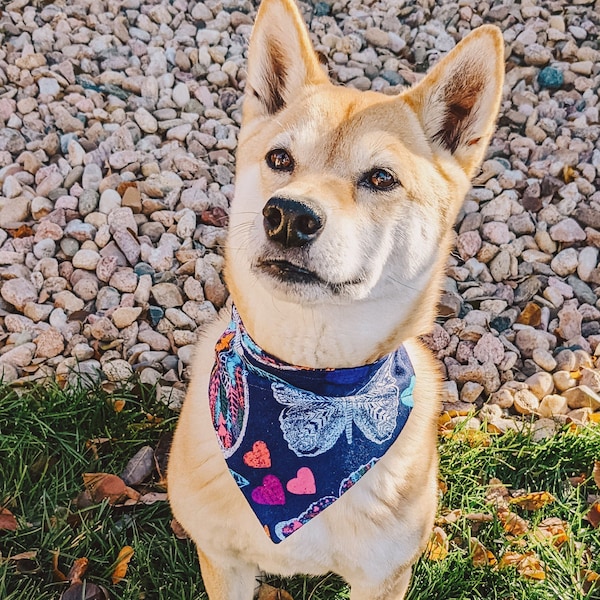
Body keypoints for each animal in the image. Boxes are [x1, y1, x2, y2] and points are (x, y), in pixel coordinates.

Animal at [166, 0, 504, 596]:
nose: (288, 215)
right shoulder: (224, 562)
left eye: (381, 178)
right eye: (280, 159)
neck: (312, 376)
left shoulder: (383, 575)